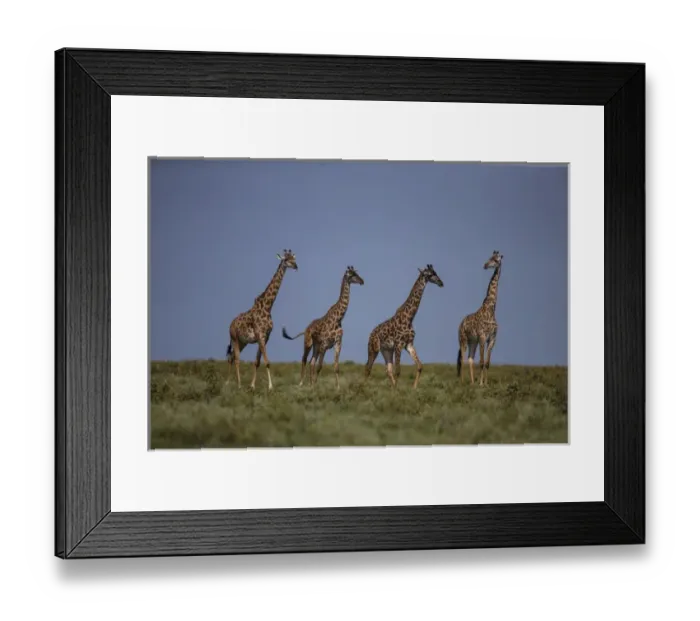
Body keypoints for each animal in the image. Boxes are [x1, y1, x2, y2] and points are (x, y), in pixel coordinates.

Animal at [226, 249, 298, 390]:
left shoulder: (266, 336)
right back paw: (239, 385)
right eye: (286, 259)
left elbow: (257, 362)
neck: (267, 307)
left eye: (294, 258)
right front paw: (270, 386)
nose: (296, 266)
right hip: (234, 338)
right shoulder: (260, 335)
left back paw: (228, 382)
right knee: (236, 359)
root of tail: (230, 325)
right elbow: (267, 362)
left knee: (231, 357)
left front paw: (252, 385)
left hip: (243, 341)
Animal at [457, 250, 504, 386]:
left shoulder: (492, 339)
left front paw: (485, 383)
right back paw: (462, 382)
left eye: (496, 260)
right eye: (490, 257)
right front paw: (481, 384)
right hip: (463, 339)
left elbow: (487, 363)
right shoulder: (483, 337)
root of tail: (461, 323)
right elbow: (482, 362)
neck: (491, 309)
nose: (485, 265)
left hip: (473, 341)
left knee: (470, 358)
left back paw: (472, 382)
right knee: (462, 359)